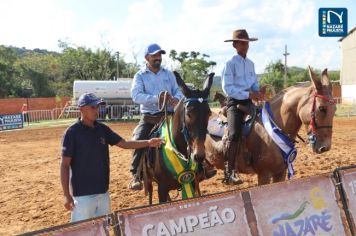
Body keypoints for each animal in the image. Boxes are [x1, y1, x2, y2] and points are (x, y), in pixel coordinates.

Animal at [142, 71, 214, 203]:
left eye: (209, 113)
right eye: (189, 113)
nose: (199, 156)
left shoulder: (192, 182)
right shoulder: (162, 188)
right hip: (149, 182)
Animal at [204, 66, 336, 184]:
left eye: (334, 109)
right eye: (322, 108)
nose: (325, 147)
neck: (272, 129)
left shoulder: (280, 172)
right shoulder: (264, 174)